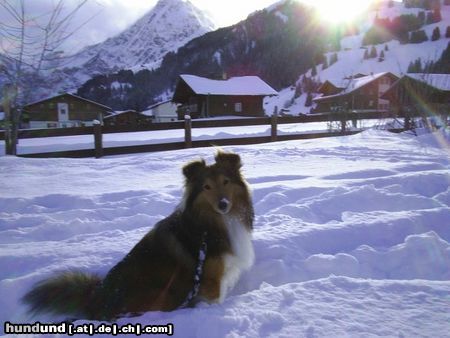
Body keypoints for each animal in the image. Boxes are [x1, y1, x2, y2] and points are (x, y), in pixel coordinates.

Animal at [22, 151, 255, 320]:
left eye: (226, 182)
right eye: (206, 187)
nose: (223, 204)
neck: (214, 222)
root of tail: (96, 296)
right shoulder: (211, 280)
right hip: (158, 294)